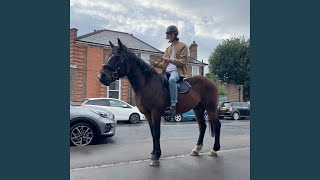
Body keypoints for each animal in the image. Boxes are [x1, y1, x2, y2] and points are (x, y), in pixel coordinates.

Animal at [99, 38, 221, 166]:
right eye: (108, 55)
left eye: (118, 57)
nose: (102, 76)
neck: (147, 84)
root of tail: (212, 82)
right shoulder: (148, 114)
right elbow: (153, 133)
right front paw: (153, 153)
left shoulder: (156, 113)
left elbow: (157, 133)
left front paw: (157, 156)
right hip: (198, 109)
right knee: (202, 126)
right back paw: (197, 149)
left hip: (210, 108)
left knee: (217, 125)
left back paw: (214, 149)